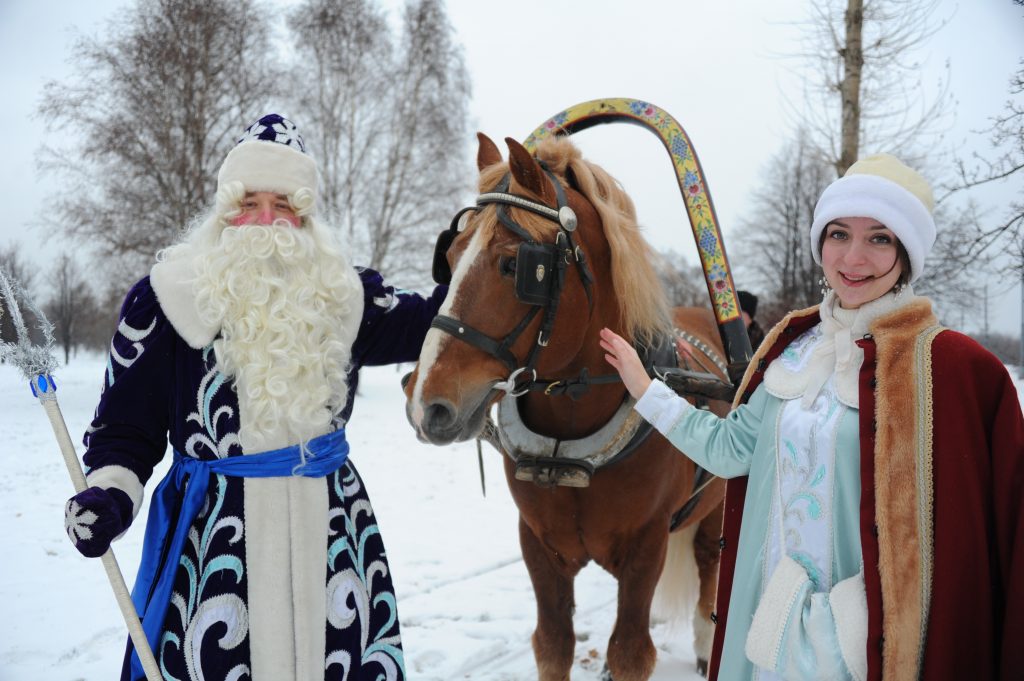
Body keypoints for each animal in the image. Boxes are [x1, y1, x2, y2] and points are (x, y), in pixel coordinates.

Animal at [403, 133, 733, 679]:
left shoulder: (648, 547)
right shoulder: (539, 546)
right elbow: (553, 643)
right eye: (447, 258)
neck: (572, 436)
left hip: (713, 511)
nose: (426, 404)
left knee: (708, 566)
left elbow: (630, 651)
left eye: (517, 266)